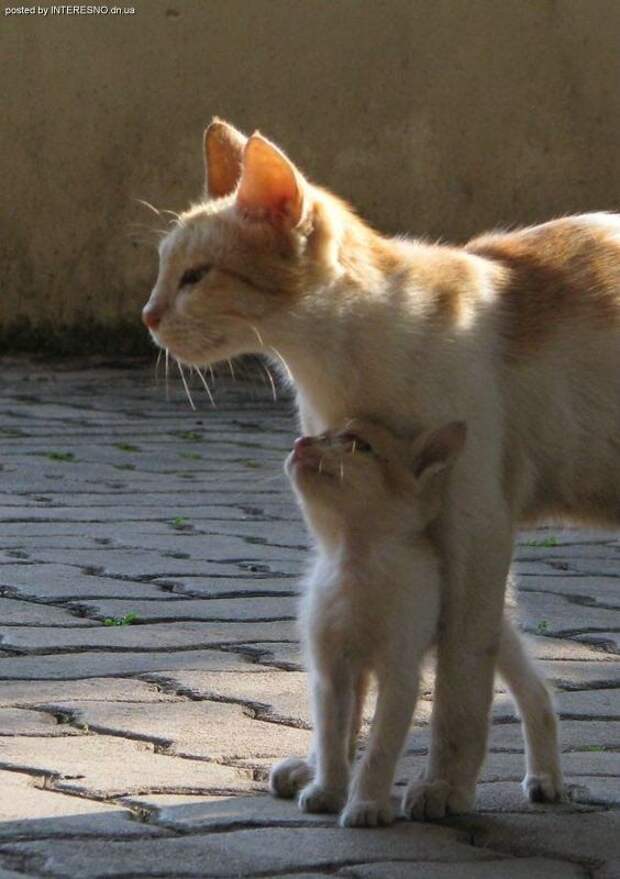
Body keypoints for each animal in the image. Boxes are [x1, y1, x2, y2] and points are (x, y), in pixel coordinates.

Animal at [142, 117, 620, 820]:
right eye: (163, 271)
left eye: (197, 277)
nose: (146, 316)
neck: (337, 365)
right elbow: (341, 700)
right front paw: (324, 773)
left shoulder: (475, 526)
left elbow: (458, 683)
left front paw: (440, 787)